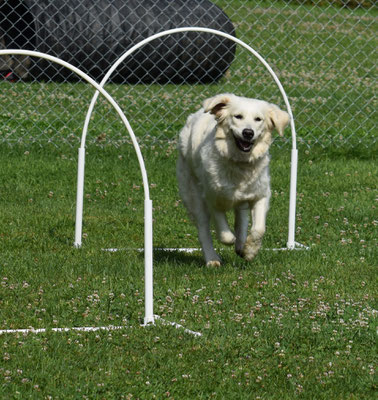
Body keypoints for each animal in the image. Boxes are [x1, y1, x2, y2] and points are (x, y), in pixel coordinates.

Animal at [176, 94, 290, 266]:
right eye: (238, 116)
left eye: (258, 119)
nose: (248, 132)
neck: (239, 163)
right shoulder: (212, 197)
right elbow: (224, 232)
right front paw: (230, 240)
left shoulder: (260, 195)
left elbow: (258, 229)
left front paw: (250, 251)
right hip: (193, 194)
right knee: (203, 228)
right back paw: (212, 259)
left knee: (241, 220)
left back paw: (241, 245)